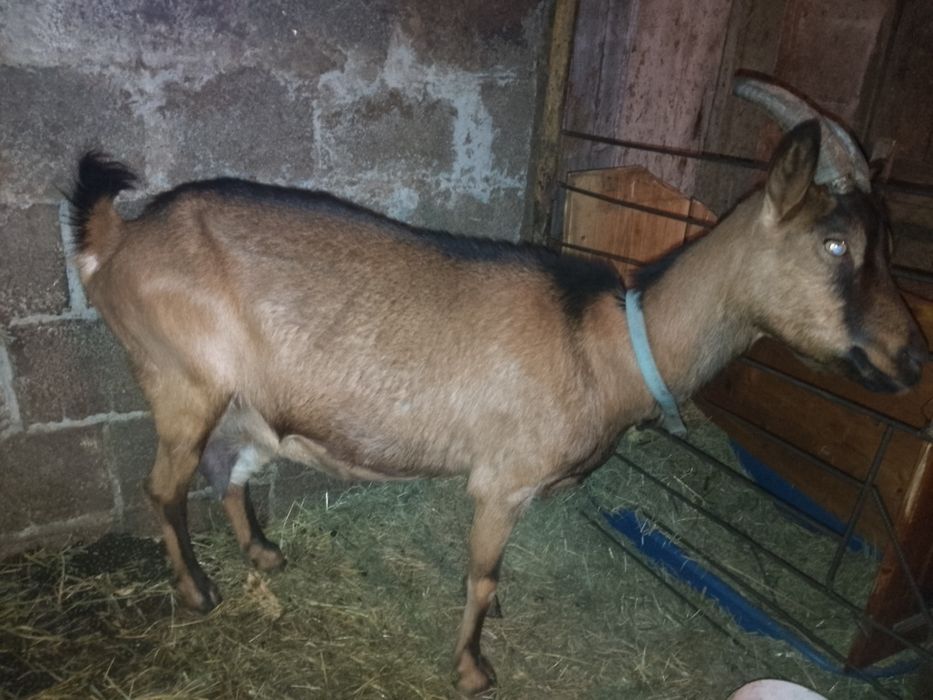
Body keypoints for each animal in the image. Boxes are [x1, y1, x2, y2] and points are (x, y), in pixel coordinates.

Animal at [70, 77, 924, 694]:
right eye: (834, 243)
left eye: (884, 241)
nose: (912, 357)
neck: (610, 341)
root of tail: (117, 238)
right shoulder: (502, 479)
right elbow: (479, 576)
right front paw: (474, 667)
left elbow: (492, 575)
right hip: (181, 383)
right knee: (163, 487)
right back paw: (197, 591)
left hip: (239, 407)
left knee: (227, 472)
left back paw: (264, 555)